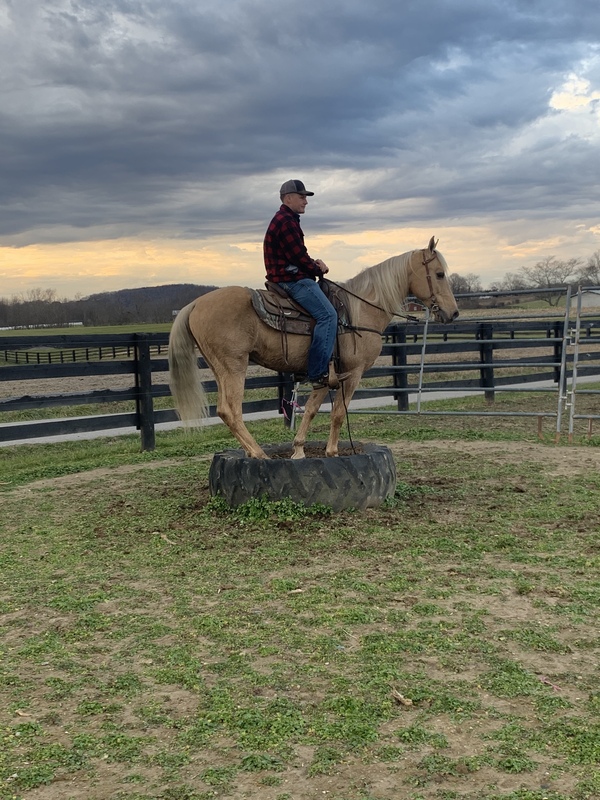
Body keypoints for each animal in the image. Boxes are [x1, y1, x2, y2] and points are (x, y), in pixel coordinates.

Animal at [168, 236, 459, 459]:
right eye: (439, 274)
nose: (453, 313)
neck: (359, 311)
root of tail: (194, 305)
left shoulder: (324, 373)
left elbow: (310, 409)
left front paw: (298, 449)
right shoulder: (353, 373)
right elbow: (339, 413)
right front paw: (332, 451)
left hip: (219, 369)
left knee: (223, 411)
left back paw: (252, 451)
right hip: (234, 367)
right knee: (231, 410)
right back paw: (259, 454)